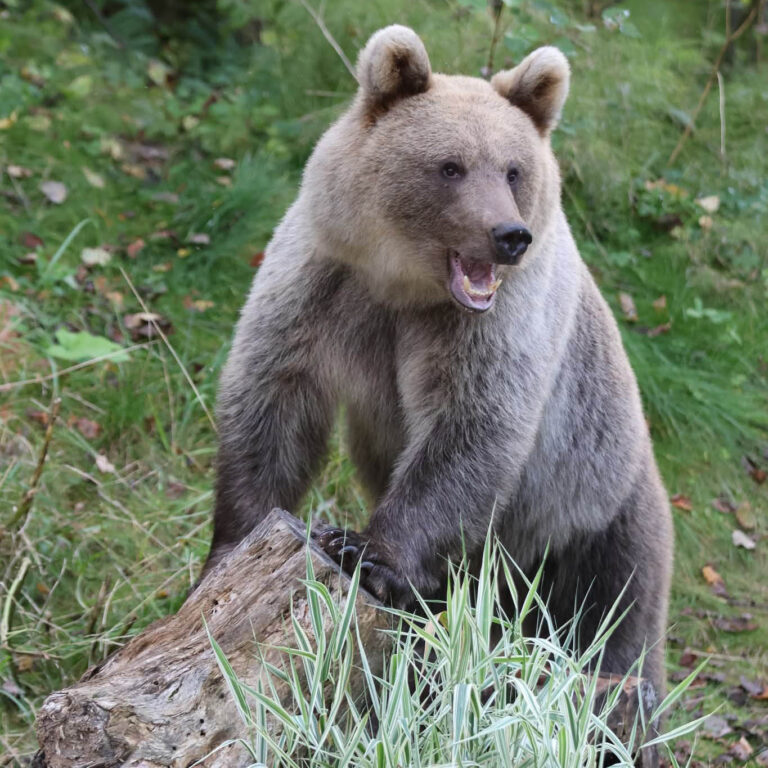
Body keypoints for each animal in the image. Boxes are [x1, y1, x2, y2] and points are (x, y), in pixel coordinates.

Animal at [203, 25, 673, 696]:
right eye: (450, 166)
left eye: (513, 169)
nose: (510, 235)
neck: (404, 287)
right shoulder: (320, 286)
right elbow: (273, 403)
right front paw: (230, 548)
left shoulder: (493, 326)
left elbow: (469, 431)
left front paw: (368, 554)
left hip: (596, 514)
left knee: (611, 624)